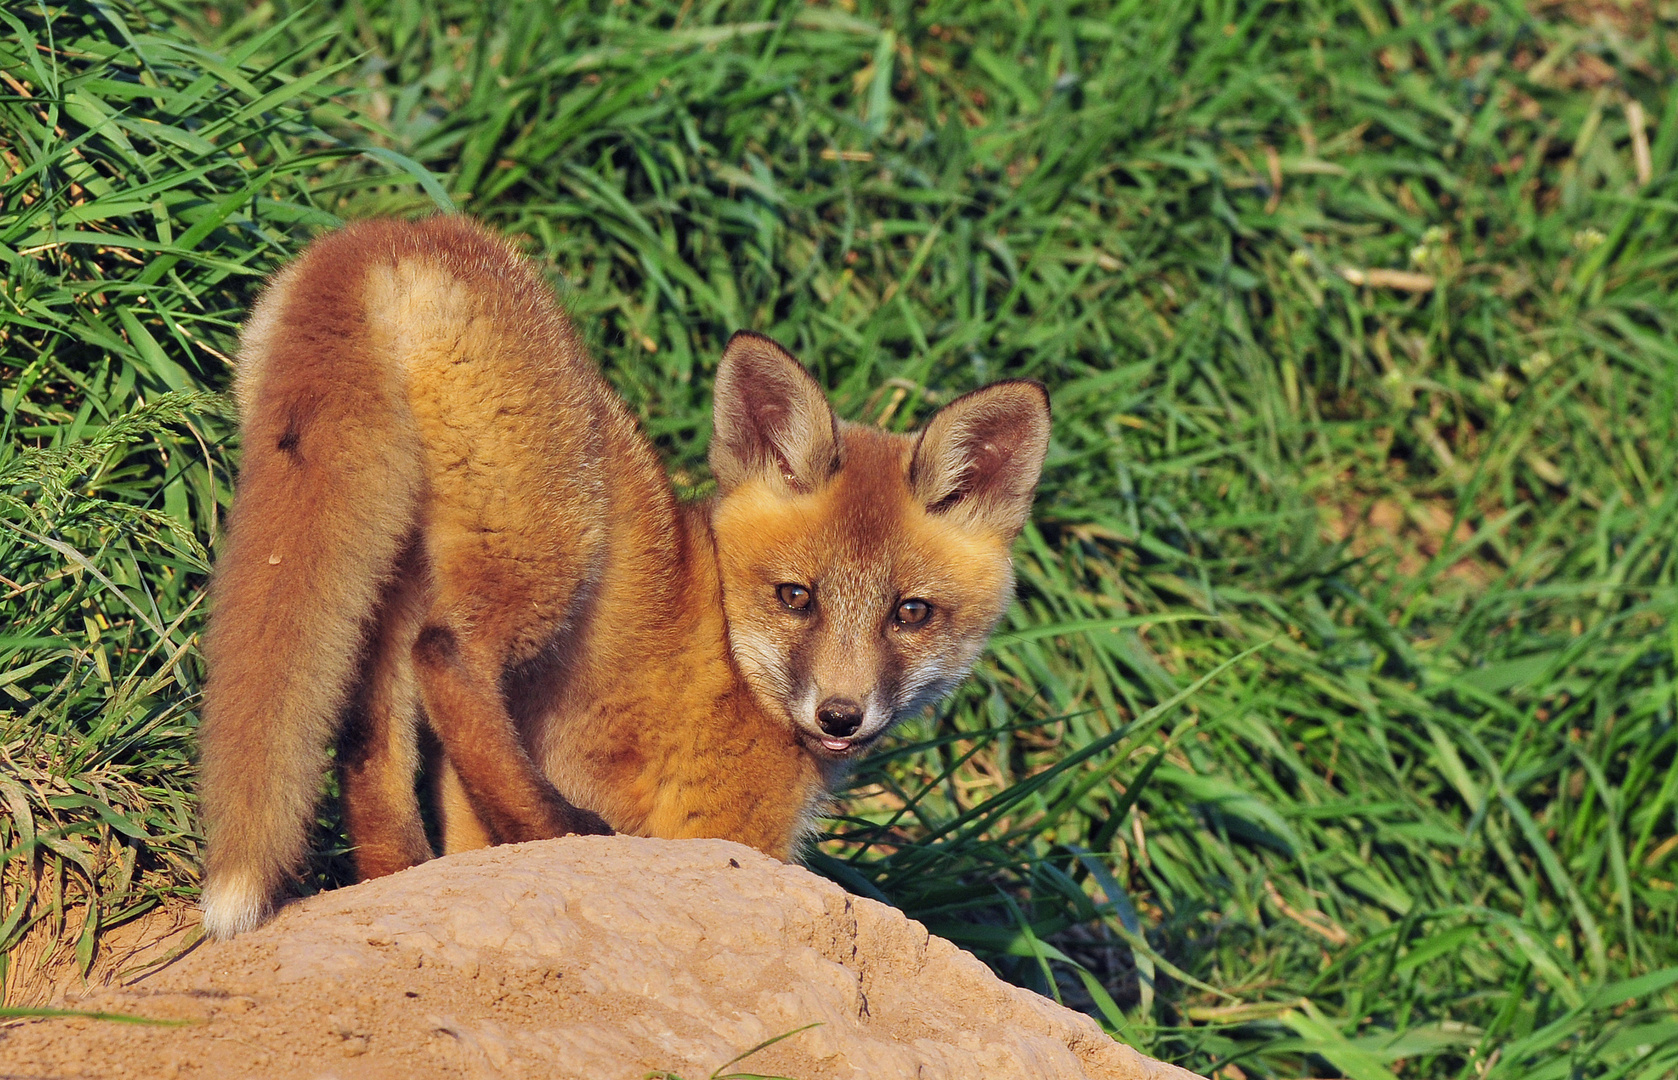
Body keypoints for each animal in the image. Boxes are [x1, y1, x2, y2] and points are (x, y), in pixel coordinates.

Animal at [199, 218, 1047, 939]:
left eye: (911, 612)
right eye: (796, 597)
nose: (840, 716)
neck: (734, 648)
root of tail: (390, 235)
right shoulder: (725, 832)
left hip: (394, 565)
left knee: (372, 733)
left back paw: (405, 871)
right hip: (551, 545)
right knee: (446, 656)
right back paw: (556, 828)